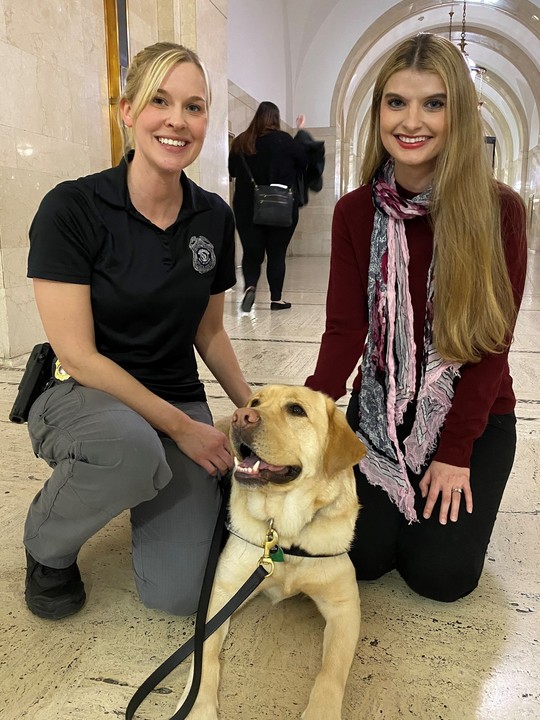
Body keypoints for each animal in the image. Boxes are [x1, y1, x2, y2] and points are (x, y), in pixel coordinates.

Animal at [177, 386, 368, 720]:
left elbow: (330, 672)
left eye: (296, 410)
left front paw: (321, 712)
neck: (284, 534)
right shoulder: (222, 592)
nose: (242, 415)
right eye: (255, 402)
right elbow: (205, 654)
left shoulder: (344, 606)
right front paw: (198, 707)